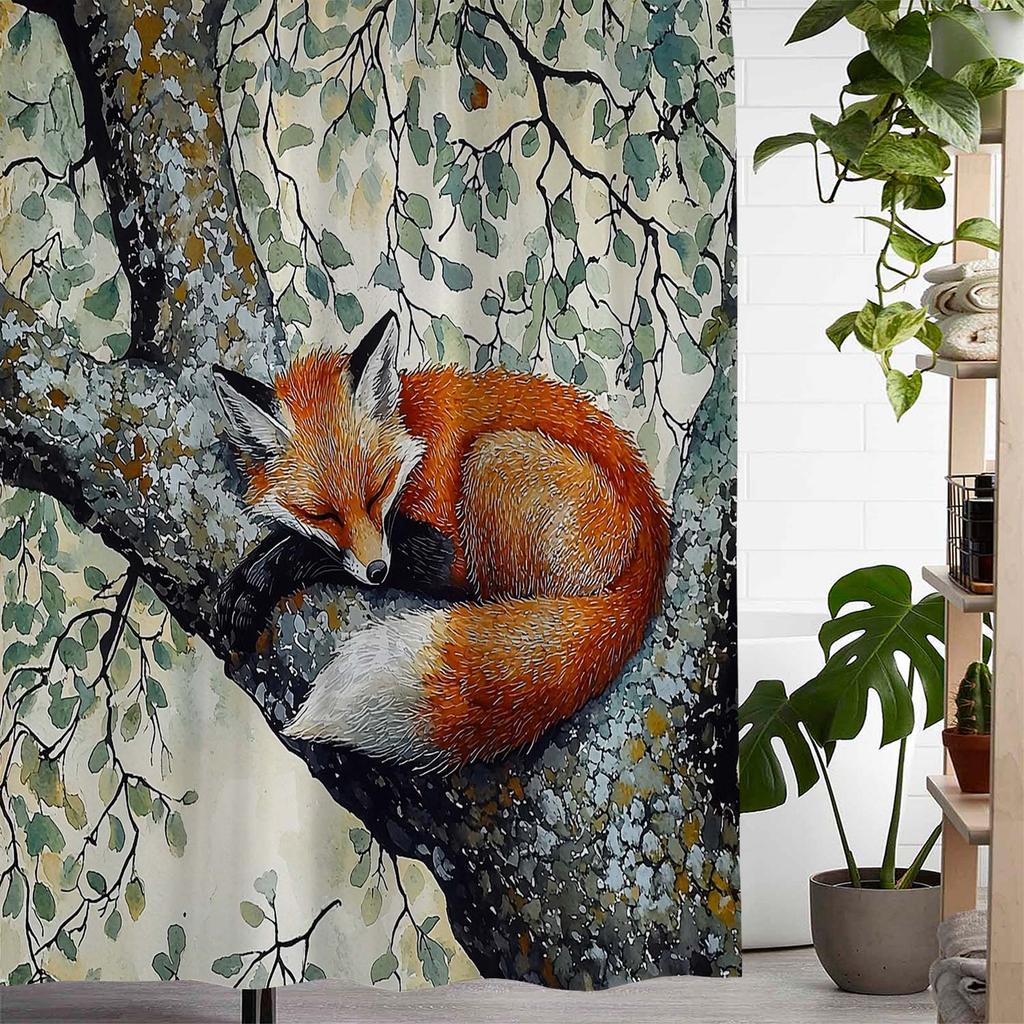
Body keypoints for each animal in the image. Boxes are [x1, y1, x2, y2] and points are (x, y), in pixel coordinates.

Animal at [212, 311, 670, 767]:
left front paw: (258, 578)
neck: (415, 431)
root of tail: (653, 538)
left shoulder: (450, 550)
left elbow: (304, 548)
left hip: (489, 461)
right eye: (323, 513)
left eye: (376, 492)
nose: (377, 572)